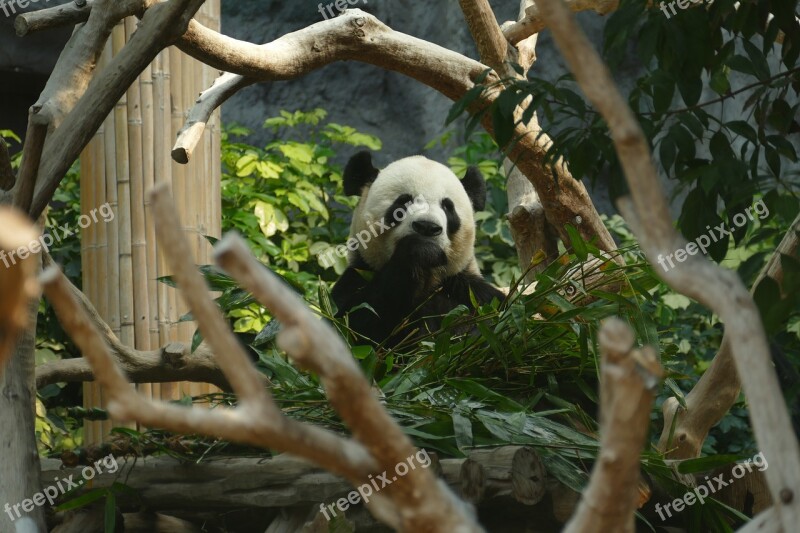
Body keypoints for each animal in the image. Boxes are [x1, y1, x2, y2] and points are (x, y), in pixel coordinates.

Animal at [330, 152, 504, 348]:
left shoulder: (468, 290)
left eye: (447, 206)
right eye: (403, 202)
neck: (429, 277)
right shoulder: (358, 276)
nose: (427, 226)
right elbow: (355, 326)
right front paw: (420, 249)